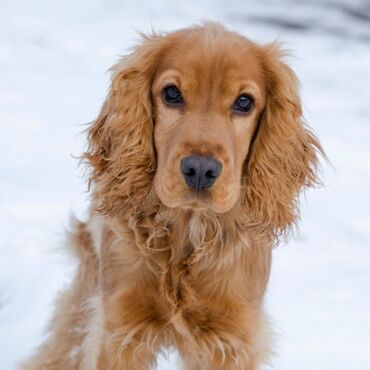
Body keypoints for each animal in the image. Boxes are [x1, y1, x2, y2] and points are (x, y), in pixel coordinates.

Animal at [23, 21, 322, 368]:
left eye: (244, 102)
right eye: (172, 94)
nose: (200, 170)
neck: (188, 231)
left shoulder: (232, 337)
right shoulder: (119, 331)